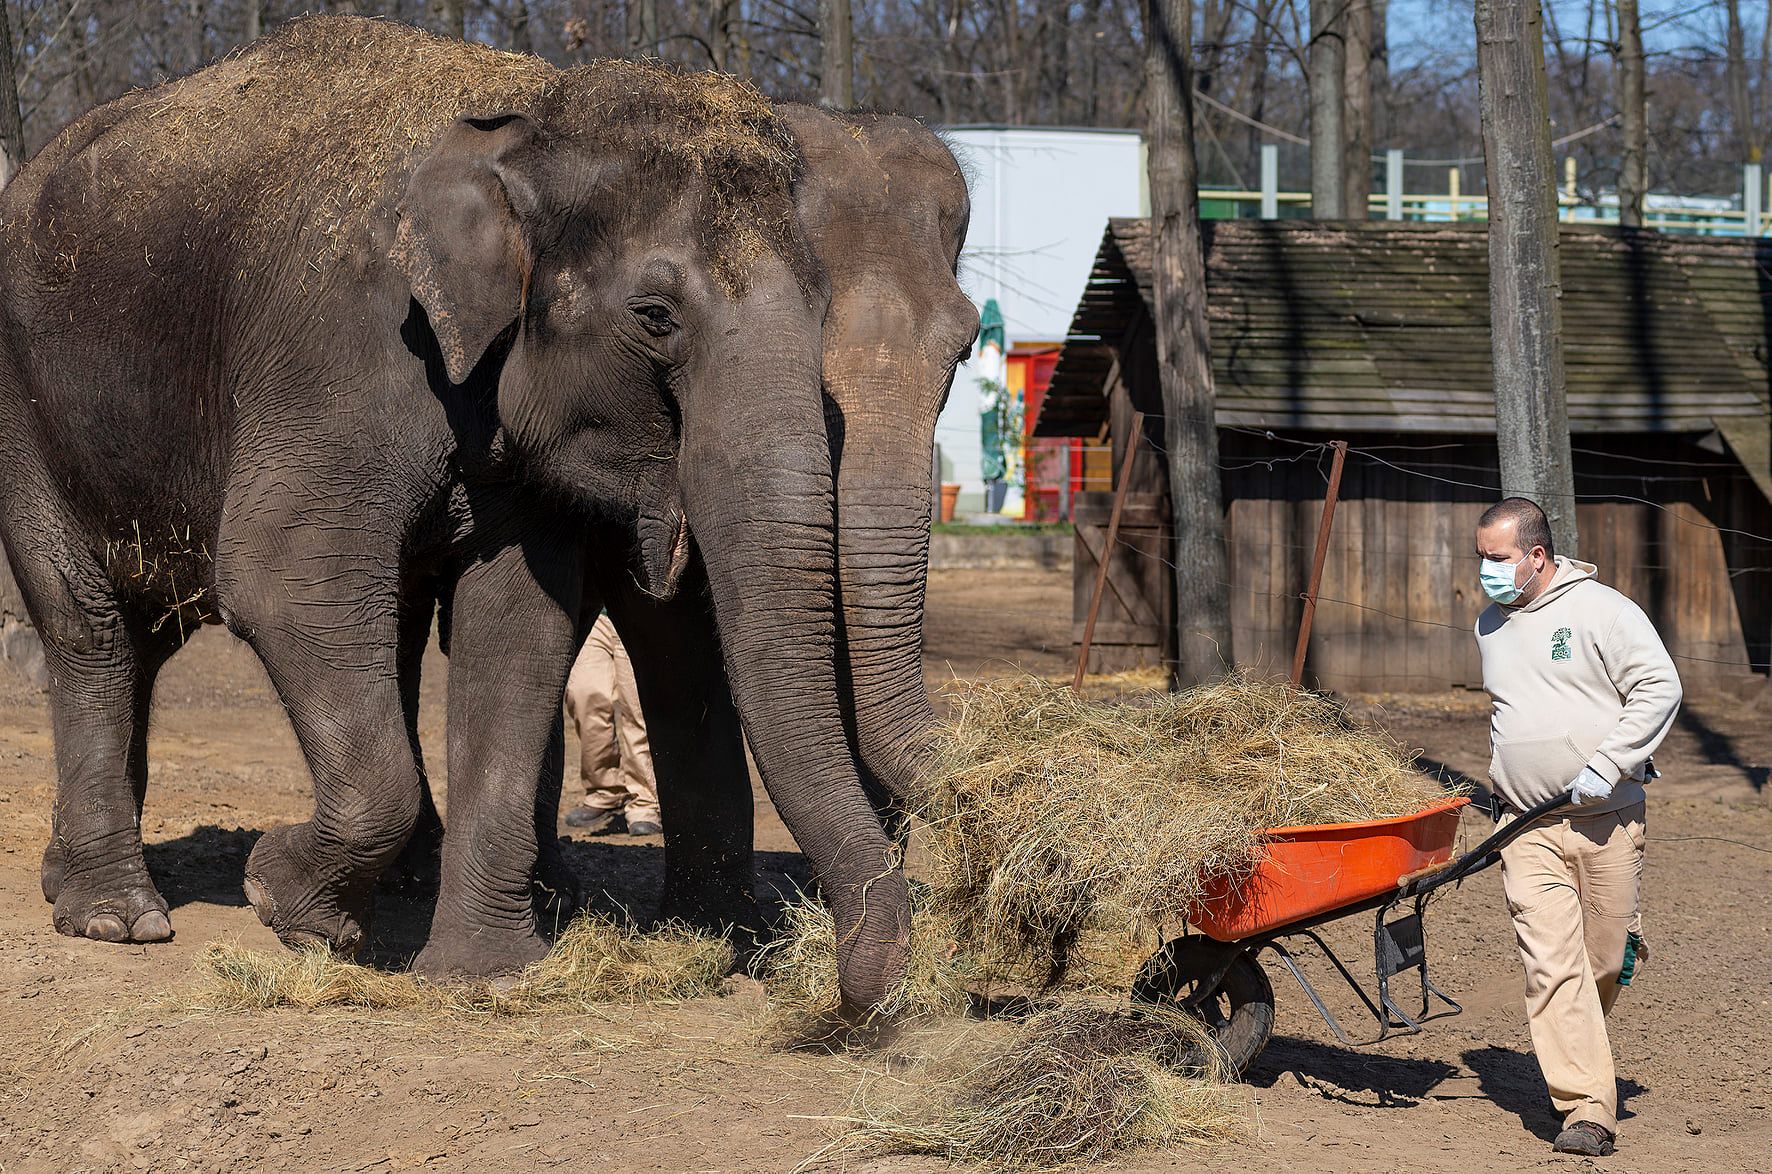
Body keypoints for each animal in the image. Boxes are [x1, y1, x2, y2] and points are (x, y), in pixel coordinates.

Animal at [0, 13, 907, 1012]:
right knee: (87, 627)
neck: (528, 119)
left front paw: (487, 975)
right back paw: (116, 919)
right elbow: (281, 580)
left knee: (163, 639)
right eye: (656, 315)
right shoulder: (340, 349)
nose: (851, 1001)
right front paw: (288, 902)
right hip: (22, 411)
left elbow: (520, 622)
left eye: (823, 309)